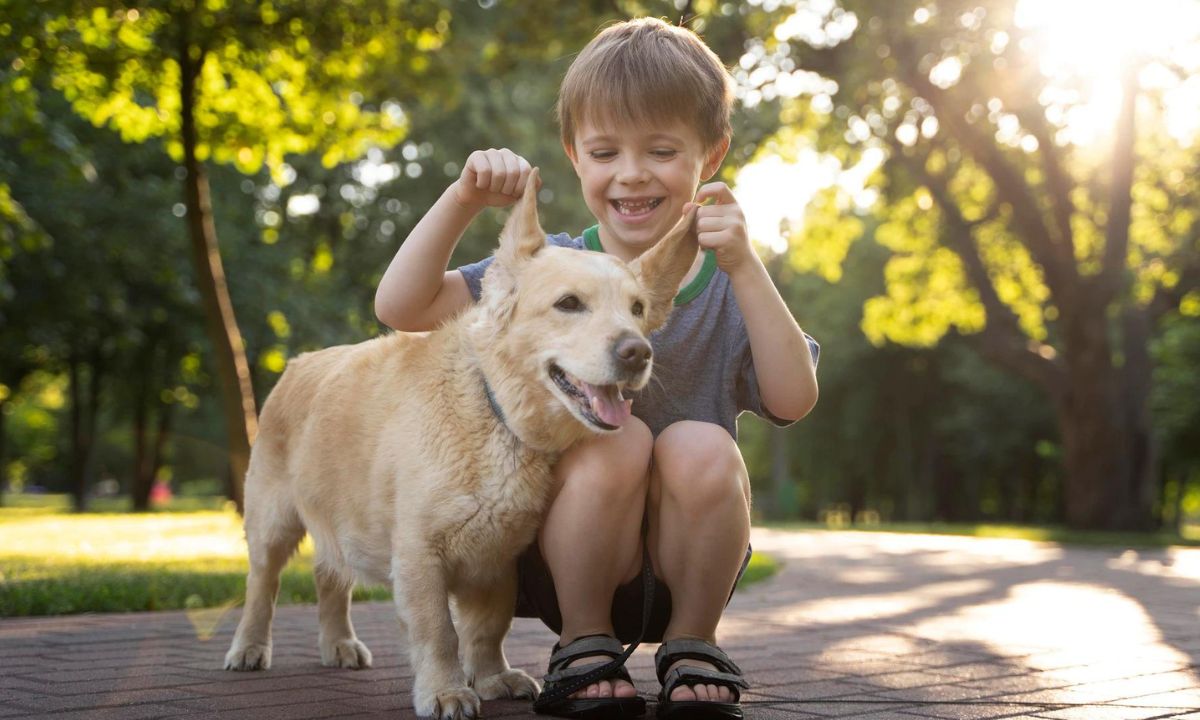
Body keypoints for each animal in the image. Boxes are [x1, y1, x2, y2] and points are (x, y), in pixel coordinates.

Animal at [220, 170, 700, 720]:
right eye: (569, 304)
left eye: (637, 309)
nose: (637, 352)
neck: (496, 412)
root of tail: (299, 361)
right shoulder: (419, 555)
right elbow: (439, 633)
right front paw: (445, 690)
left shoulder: (497, 560)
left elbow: (488, 629)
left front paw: (492, 678)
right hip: (271, 522)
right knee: (262, 587)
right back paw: (249, 648)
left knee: (329, 578)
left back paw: (338, 642)